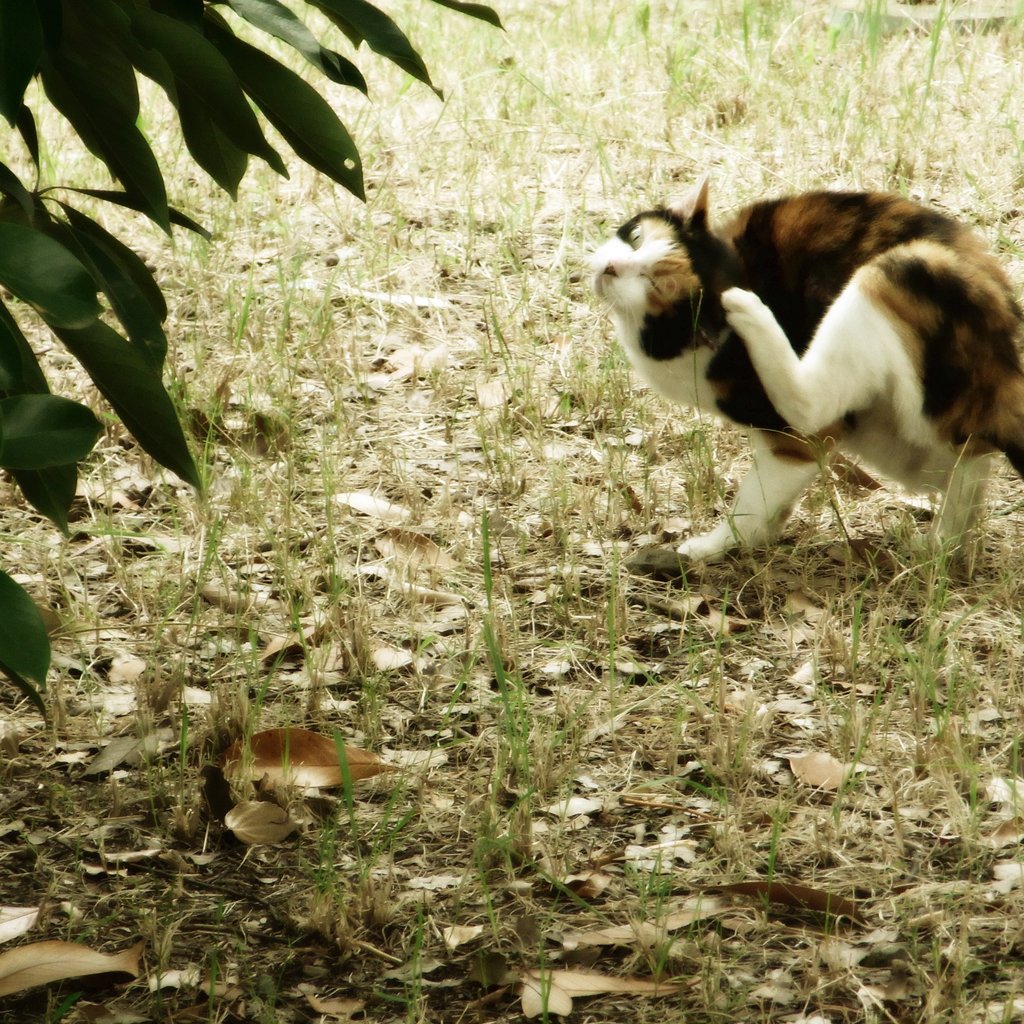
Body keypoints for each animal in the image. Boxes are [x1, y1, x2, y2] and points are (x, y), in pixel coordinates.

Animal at [589, 177, 1024, 561]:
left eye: (654, 285)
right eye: (636, 237)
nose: (609, 267)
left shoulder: (797, 441)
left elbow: (755, 500)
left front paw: (715, 546)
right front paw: (763, 537)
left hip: (902, 267)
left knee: (812, 402)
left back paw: (749, 309)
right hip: (896, 440)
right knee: (970, 466)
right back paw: (943, 545)